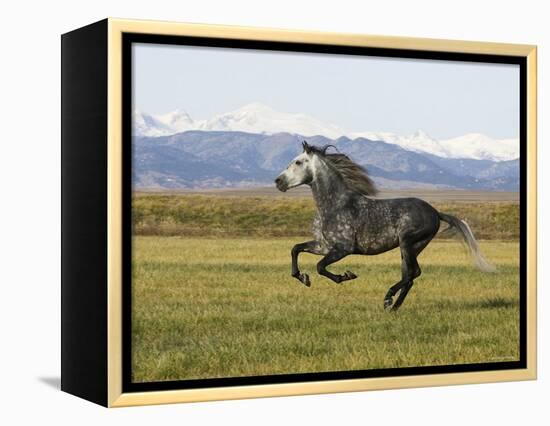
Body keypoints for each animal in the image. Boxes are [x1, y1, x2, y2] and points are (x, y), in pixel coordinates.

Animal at [276, 141, 496, 312]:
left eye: (297, 161)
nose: (278, 182)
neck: (336, 204)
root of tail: (435, 212)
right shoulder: (325, 245)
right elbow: (295, 249)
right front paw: (303, 277)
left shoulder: (343, 248)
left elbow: (320, 266)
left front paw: (346, 276)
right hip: (411, 247)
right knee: (410, 276)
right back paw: (393, 306)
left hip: (408, 242)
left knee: (413, 273)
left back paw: (388, 298)